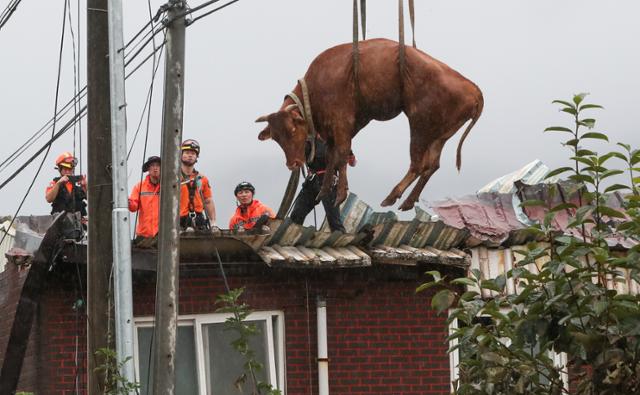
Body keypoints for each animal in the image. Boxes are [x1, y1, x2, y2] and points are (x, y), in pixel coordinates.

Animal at [258, 38, 482, 212]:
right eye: (276, 139)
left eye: (293, 130)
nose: (293, 164)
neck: (315, 88)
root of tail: (473, 88)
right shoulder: (337, 130)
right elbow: (332, 158)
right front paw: (324, 192)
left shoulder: (341, 122)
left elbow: (341, 155)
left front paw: (340, 194)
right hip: (441, 134)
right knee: (432, 166)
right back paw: (409, 201)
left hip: (419, 125)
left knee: (419, 164)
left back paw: (392, 196)